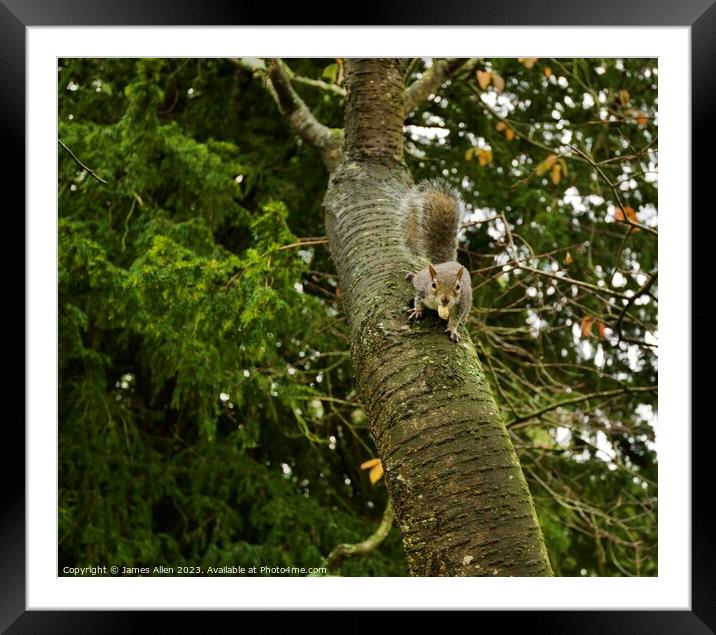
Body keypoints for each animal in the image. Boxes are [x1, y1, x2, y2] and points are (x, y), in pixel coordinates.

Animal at [400, 180, 472, 342]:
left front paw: (453, 330)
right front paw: (417, 311)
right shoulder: (423, 292)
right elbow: (418, 300)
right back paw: (413, 275)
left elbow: (455, 320)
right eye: (433, 284)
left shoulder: (461, 304)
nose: (445, 299)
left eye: (458, 287)